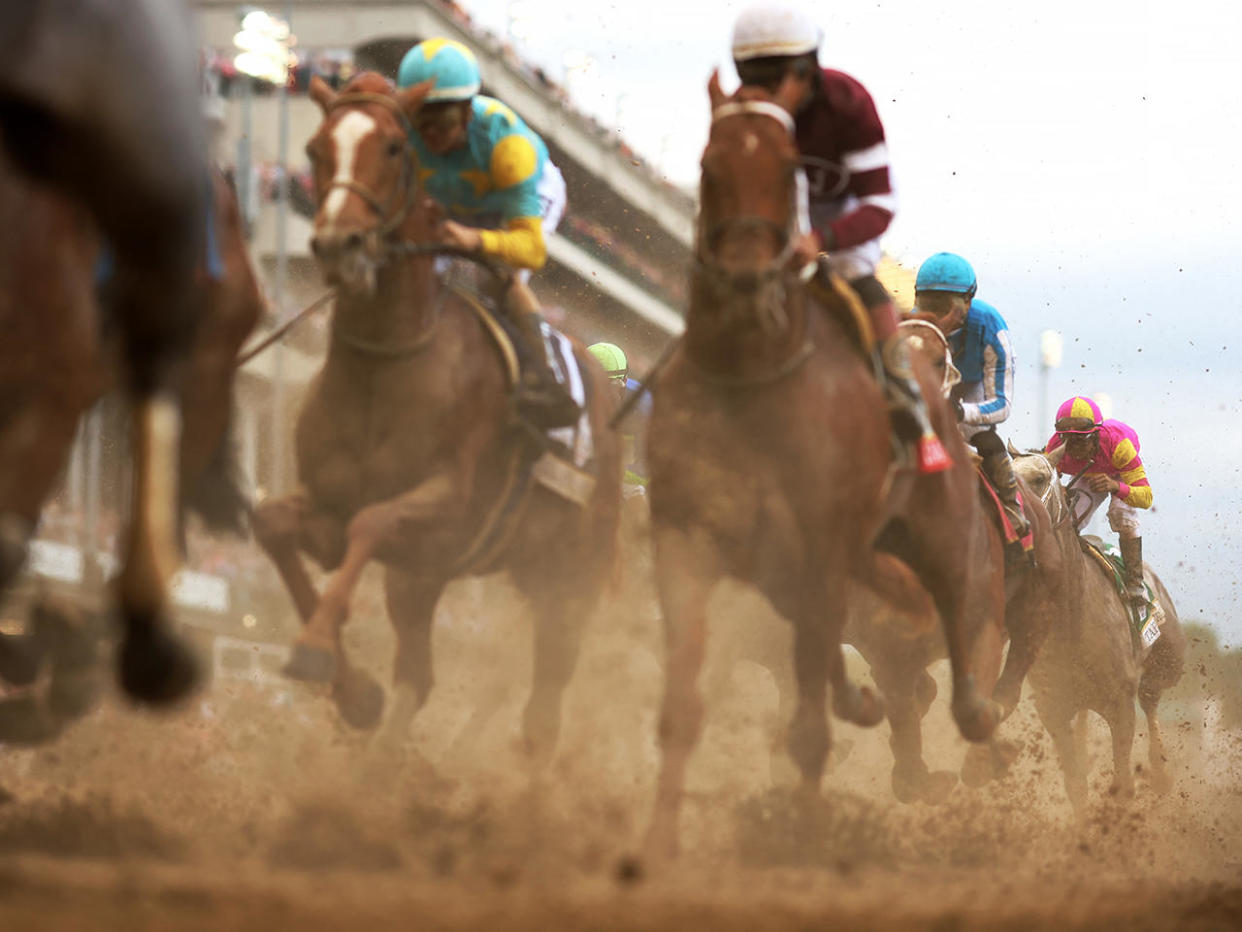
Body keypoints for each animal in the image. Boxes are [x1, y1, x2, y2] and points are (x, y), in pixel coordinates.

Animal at [252, 73, 621, 770]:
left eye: (395, 147)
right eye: (314, 149)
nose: (339, 244)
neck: (385, 364)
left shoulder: (447, 509)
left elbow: (372, 521)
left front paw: (315, 646)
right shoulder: (332, 512)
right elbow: (274, 524)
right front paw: (354, 691)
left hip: (571, 583)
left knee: (544, 712)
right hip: (432, 583)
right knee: (421, 679)